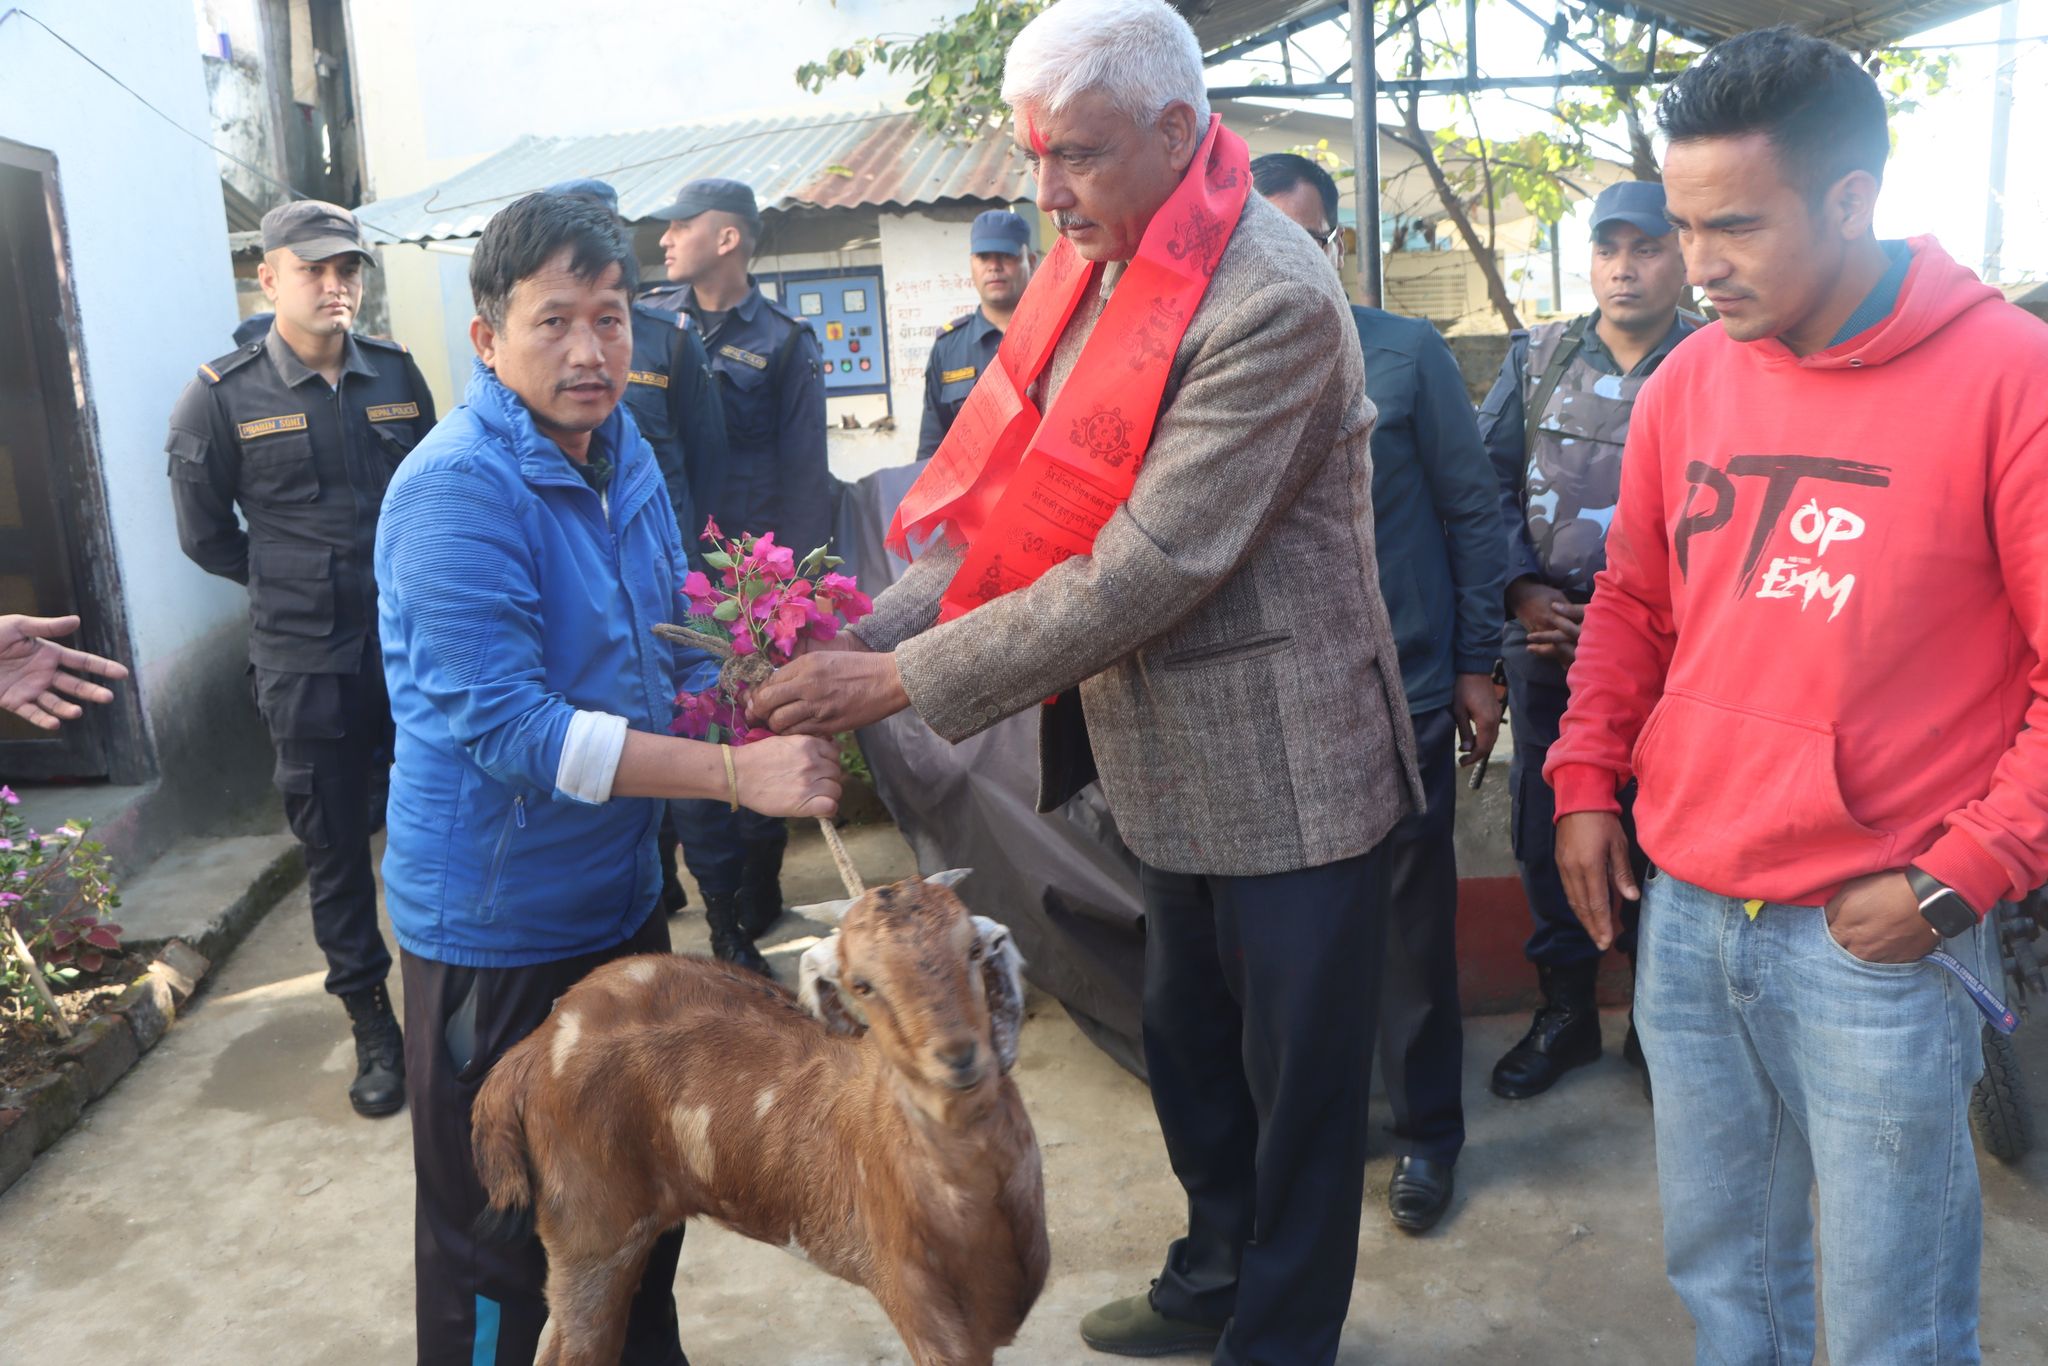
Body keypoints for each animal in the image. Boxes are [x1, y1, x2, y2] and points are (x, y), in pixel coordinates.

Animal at [471, 876, 1048, 1366]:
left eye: (973, 950)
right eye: (863, 984)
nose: (958, 1058)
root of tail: (529, 1052)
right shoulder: (926, 1308)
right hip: (591, 1230)